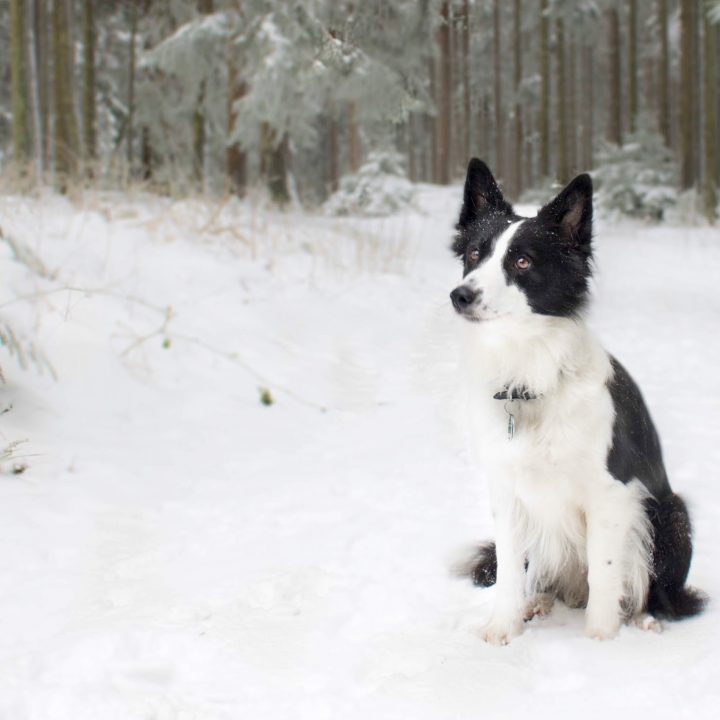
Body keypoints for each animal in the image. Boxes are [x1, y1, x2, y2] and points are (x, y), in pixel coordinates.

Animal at [450, 160, 704, 644]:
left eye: (523, 261)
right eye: (474, 255)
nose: (461, 295)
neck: (530, 376)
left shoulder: (611, 492)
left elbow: (605, 573)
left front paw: (601, 639)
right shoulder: (506, 488)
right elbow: (508, 568)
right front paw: (503, 627)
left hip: (670, 512)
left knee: (656, 591)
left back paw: (644, 618)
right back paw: (538, 602)